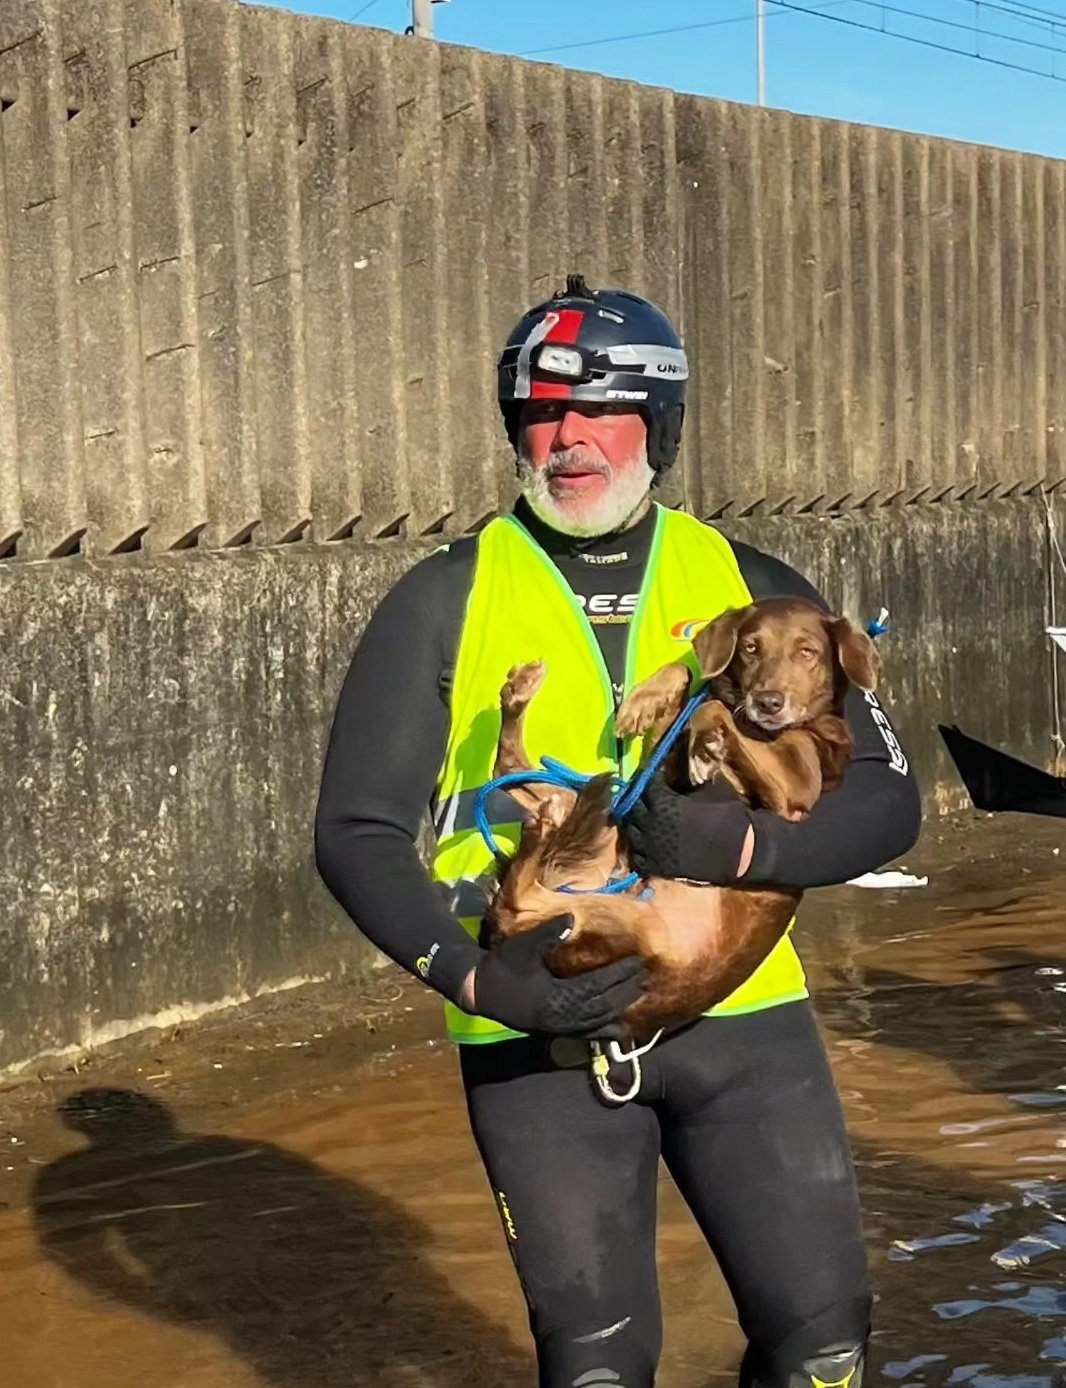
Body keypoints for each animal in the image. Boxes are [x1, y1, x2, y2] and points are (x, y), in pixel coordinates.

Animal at [483, 599, 877, 1049]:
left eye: (807, 652)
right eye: (751, 648)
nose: (768, 702)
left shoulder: (794, 790)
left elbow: (715, 708)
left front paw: (708, 739)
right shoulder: (661, 753)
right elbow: (690, 680)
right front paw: (646, 701)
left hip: (624, 924)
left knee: (519, 895)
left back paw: (539, 825)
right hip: (604, 822)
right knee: (508, 770)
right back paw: (520, 696)